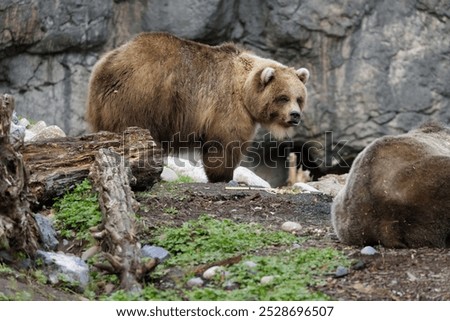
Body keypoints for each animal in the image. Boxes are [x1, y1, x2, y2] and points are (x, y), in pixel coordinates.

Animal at [84, 33, 310, 182]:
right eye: (283, 97)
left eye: (299, 98)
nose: (295, 115)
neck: (245, 89)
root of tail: (107, 64)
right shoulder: (227, 105)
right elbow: (225, 142)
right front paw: (224, 175)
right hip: (142, 97)